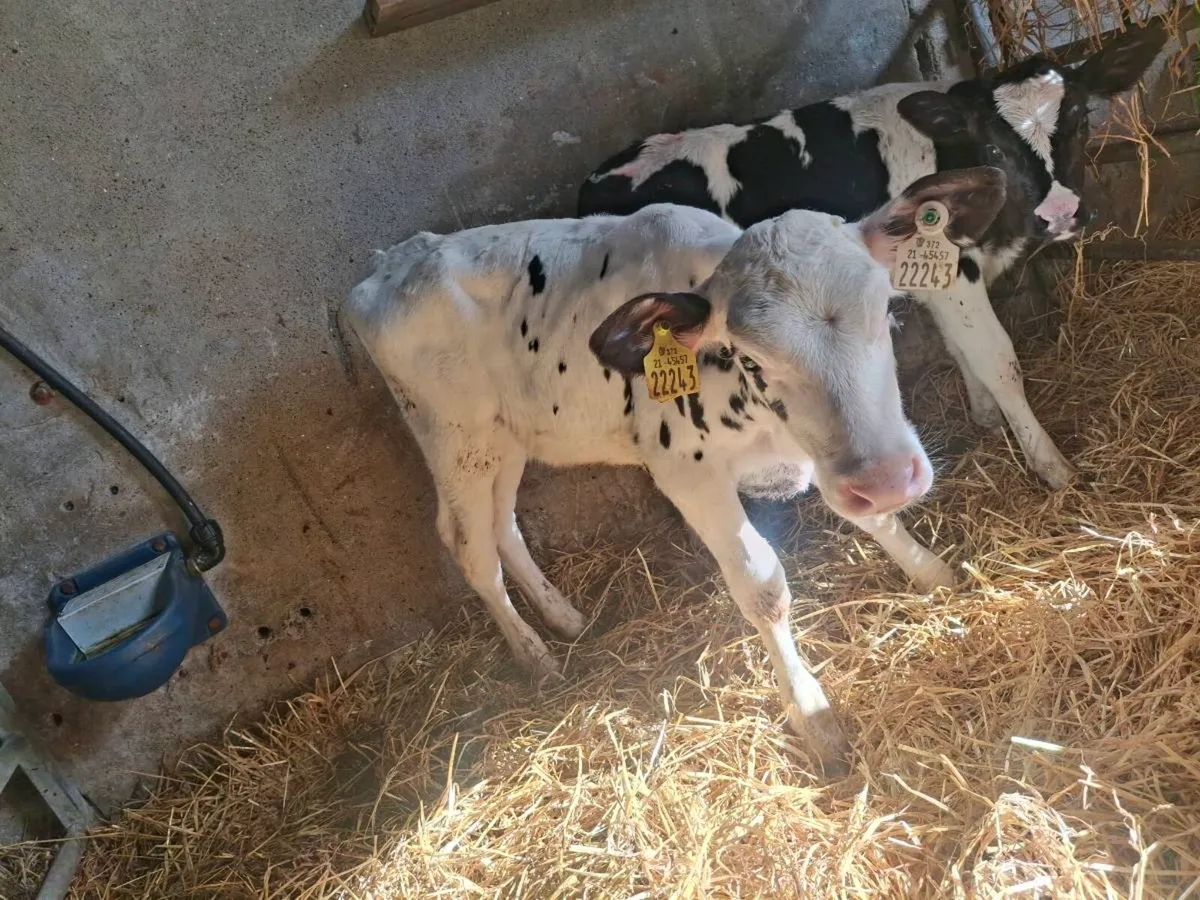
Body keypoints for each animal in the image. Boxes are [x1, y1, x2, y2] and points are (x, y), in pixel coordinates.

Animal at [343, 166, 1008, 772]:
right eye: (751, 356)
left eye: (884, 309)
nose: (889, 479)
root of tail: (386, 265)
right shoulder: (686, 472)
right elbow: (763, 585)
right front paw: (813, 717)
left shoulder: (823, 449)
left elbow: (872, 521)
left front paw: (932, 574)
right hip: (455, 440)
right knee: (467, 543)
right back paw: (535, 657)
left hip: (507, 440)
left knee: (502, 524)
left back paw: (564, 618)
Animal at [578, 24, 1167, 490]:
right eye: (996, 148)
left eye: (1082, 121)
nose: (1062, 212)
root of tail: (597, 178)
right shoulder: (956, 274)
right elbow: (999, 361)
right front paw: (1051, 465)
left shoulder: (934, 277)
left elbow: (961, 349)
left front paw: (983, 415)